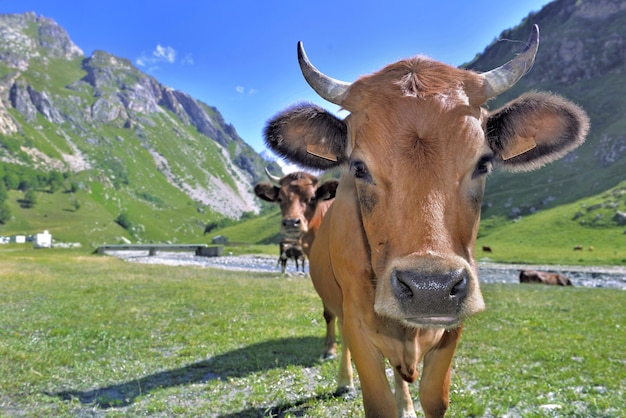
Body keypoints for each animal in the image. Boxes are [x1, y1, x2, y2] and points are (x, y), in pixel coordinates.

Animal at [262, 24, 584, 416]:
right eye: (359, 167)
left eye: (483, 163)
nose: (431, 289)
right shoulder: (357, 321)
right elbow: (377, 398)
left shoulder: (452, 325)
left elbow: (435, 397)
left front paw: (412, 403)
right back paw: (343, 380)